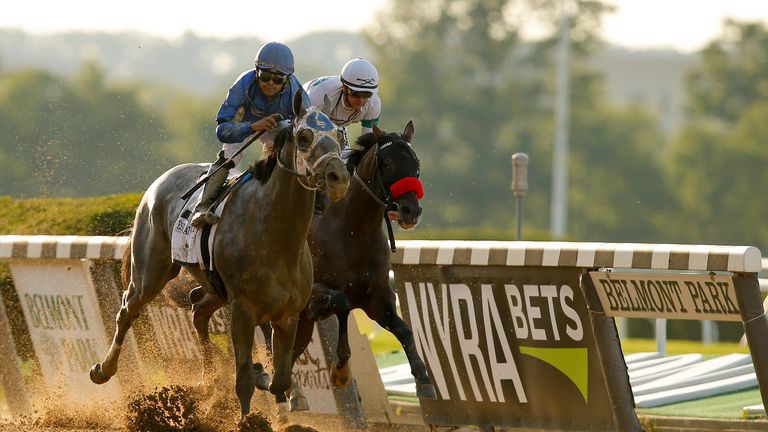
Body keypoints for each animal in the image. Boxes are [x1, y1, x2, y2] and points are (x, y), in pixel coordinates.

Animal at [88, 90, 350, 418]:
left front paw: (266, 376)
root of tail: (162, 179)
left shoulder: (288, 314)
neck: (275, 236)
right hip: (151, 271)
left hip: (213, 285)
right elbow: (244, 381)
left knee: (198, 308)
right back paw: (103, 369)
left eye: (339, 135)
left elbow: (280, 378)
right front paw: (248, 415)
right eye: (304, 137)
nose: (338, 177)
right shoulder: (242, 310)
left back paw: (208, 381)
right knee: (128, 309)